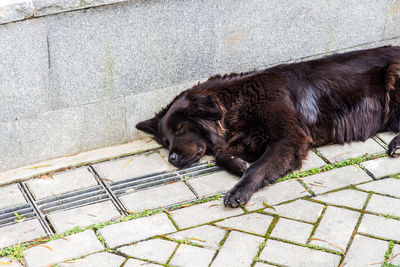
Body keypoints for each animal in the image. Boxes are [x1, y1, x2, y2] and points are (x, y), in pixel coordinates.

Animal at [135, 46, 400, 208]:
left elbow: (258, 167)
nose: (172, 159)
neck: (240, 100)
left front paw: (239, 190)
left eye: (180, 129)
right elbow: (223, 154)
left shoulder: (289, 138)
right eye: (166, 142)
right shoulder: (248, 137)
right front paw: (239, 165)